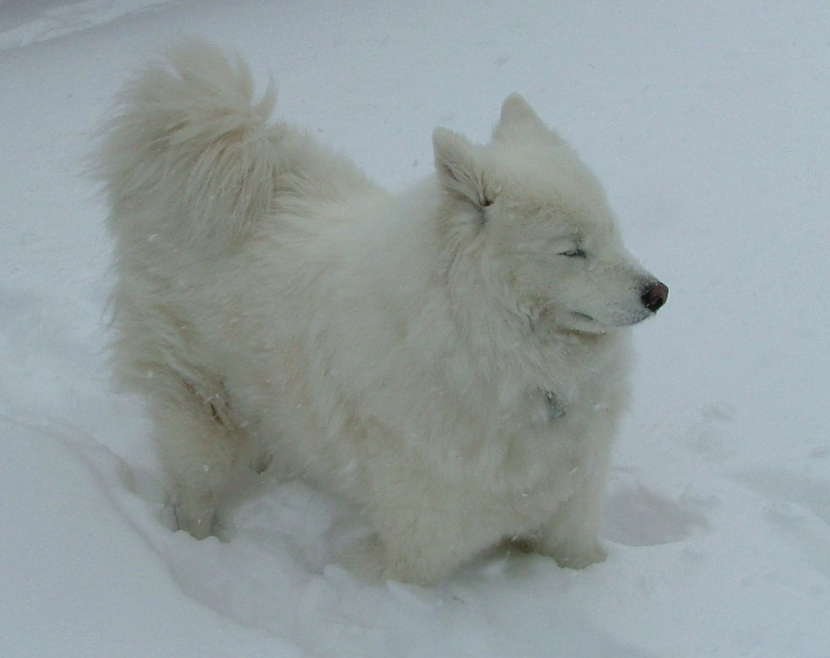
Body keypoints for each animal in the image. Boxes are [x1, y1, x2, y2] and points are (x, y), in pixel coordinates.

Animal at [96, 39, 668, 584]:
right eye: (572, 251)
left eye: (611, 232)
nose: (658, 293)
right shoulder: (416, 549)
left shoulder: (571, 516)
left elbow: (581, 556)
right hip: (199, 408)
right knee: (194, 490)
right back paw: (197, 545)